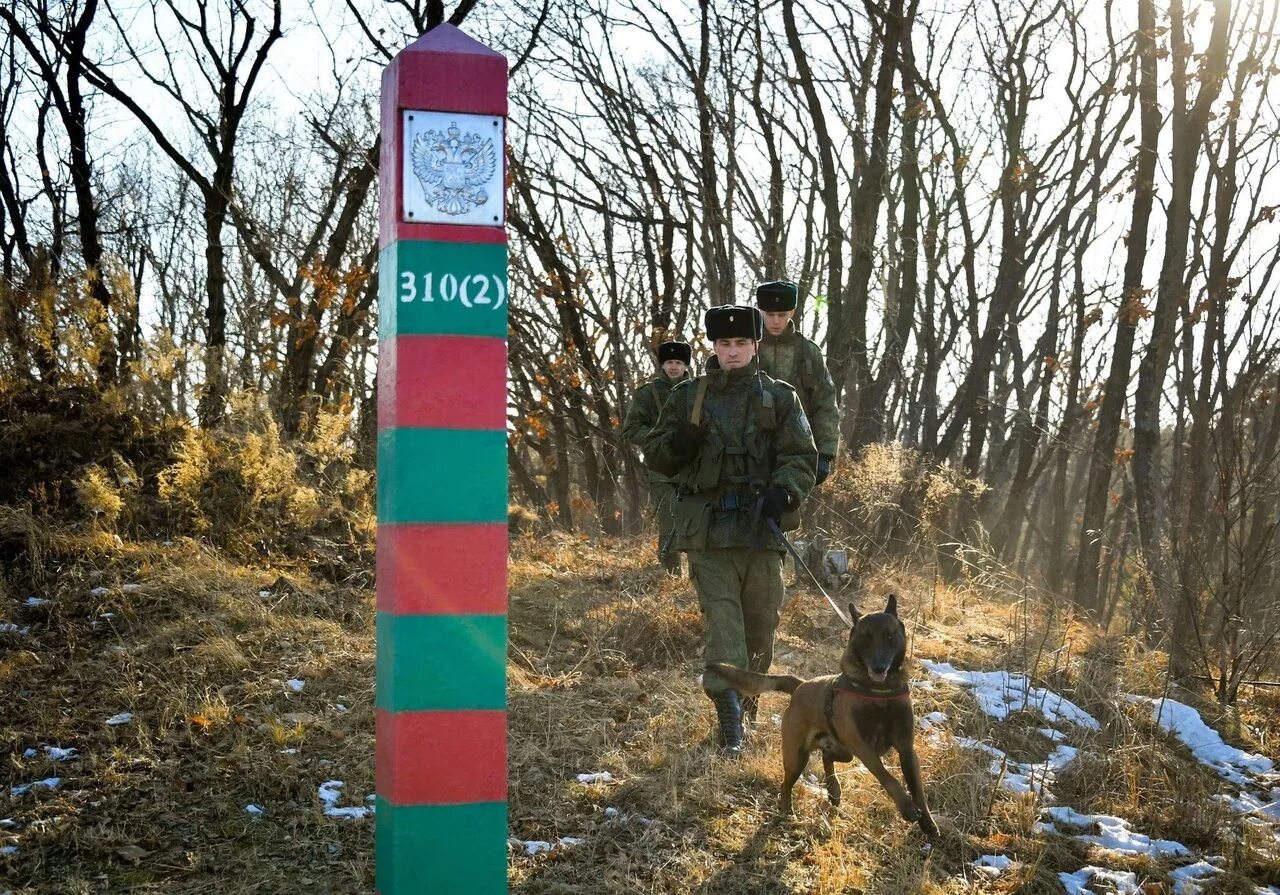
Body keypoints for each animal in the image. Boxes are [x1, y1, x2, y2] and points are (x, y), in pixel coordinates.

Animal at [706, 594, 936, 834]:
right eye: (865, 638)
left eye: (890, 636)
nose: (879, 667)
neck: (878, 692)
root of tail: (800, 684)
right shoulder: (863, 747)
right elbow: (887, 776)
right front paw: (907, 808)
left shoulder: (906, 749)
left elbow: (918, 790)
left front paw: (928, 822)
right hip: (798, 755)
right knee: (787, 783)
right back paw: (788, 811)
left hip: (844, 751)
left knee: (827, 756)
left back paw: (833, 790)